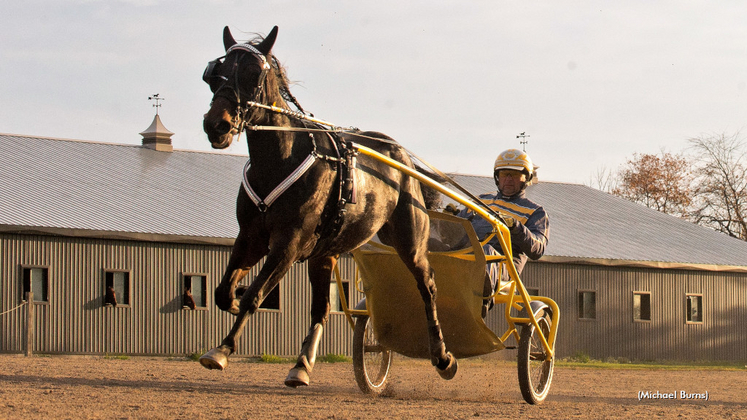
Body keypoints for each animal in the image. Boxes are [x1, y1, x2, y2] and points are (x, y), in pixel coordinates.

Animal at [199, 25, 456, 388]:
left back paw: (442, 356)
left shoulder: (289, 242)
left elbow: (256, 294)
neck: (281, 158)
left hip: (410, 241)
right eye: (216, 72)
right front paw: (231, 306)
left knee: (427, 285)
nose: (216, 124)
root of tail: (401, 156)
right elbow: (224, 292)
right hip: (326, 251)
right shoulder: (250, 236)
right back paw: (301, 365)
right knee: (320, 308)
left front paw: (222, 350)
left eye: (253, 74)